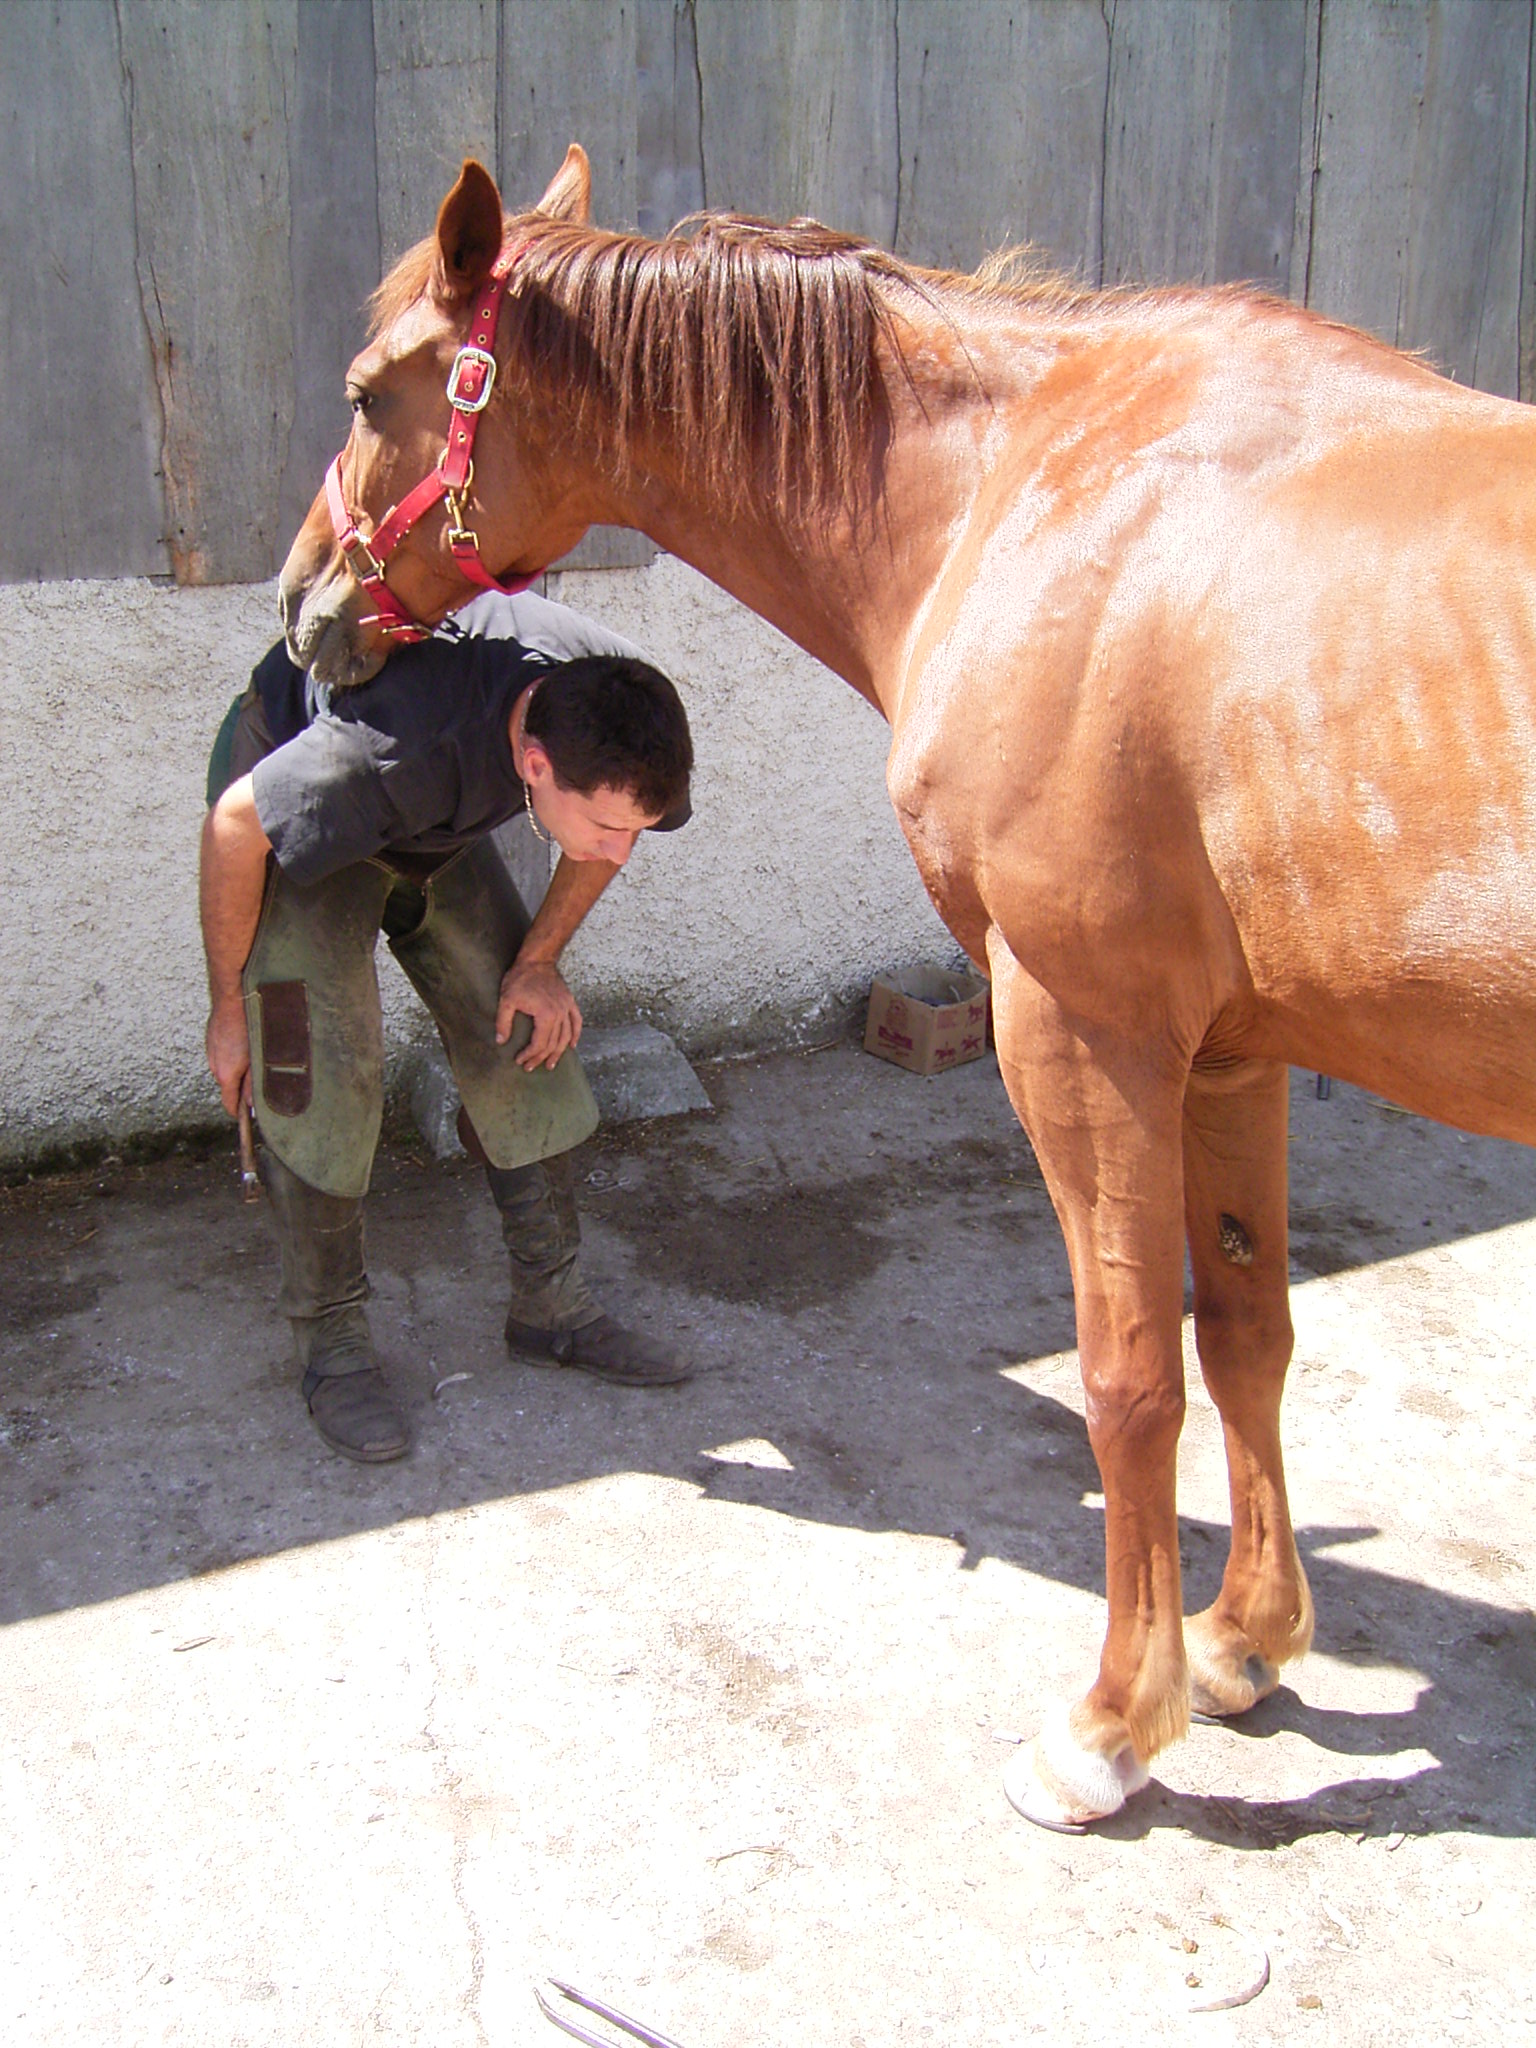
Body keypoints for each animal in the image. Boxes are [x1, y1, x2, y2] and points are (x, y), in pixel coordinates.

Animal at [279, 147, 1536, 1831]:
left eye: (372, 391)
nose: (307, 609)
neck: (1039, 490)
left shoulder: (1081, 1033)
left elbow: (1129, 1378)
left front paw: (1110, 1726)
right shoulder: (1229, 1053)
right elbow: (1244, 1331)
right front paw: (1245, 1644)